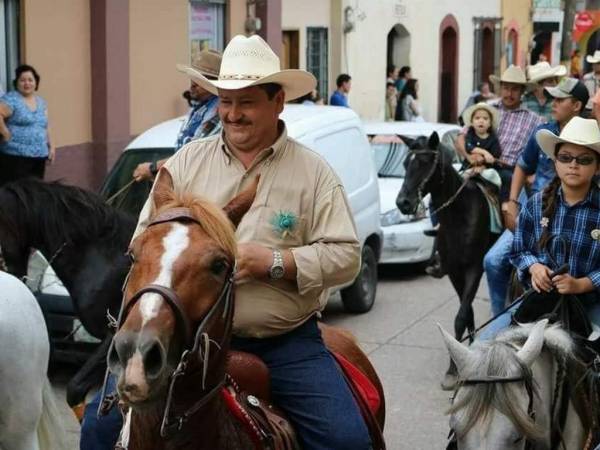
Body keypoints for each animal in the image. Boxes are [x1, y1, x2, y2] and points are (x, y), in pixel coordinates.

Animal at [398, 134, 496, 390]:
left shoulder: (474, 269)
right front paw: (464, 352)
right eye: (405, 163)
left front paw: (454, 369)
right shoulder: (453, 271)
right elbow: (466, 310)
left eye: (424, 163)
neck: (459, 215)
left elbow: (461, 316)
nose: (403, 202)